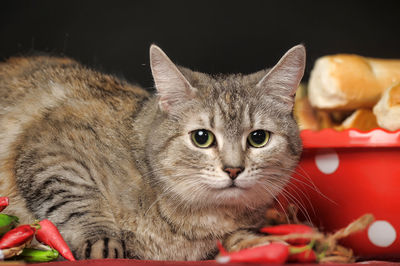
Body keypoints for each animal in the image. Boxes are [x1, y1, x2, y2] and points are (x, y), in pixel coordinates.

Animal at [0, 45, 304, 260]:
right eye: (202, 138)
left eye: (258, 138)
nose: (233, 169)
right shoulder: (50, 150)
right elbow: (78, 200)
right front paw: (101, 238)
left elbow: (237, 238)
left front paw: (260, 242)